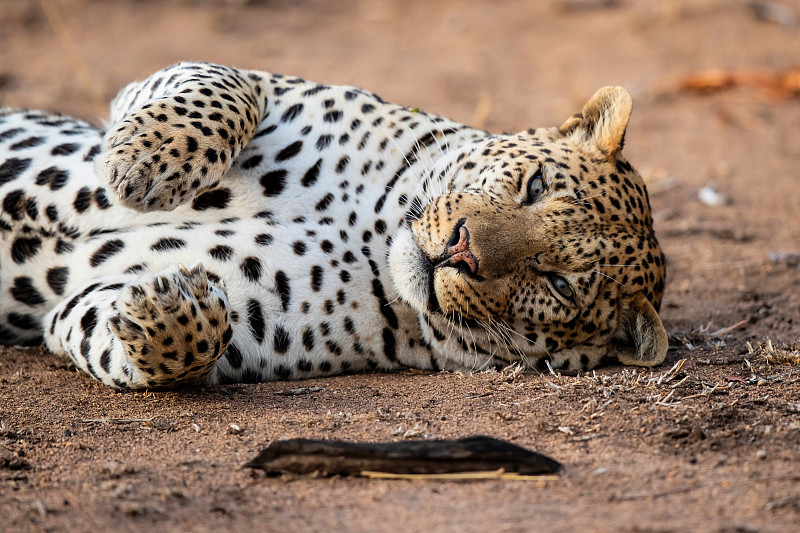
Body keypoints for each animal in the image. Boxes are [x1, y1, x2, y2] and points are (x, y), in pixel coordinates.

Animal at [0, 62, 668, 388]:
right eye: (534, 187)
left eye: (557, 283)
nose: (461, 251)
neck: (373, 226)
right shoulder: (249, 86)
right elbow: (222, 87)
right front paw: (148, 159)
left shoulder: (235, 327)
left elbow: (175, 349)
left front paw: (168, 310)